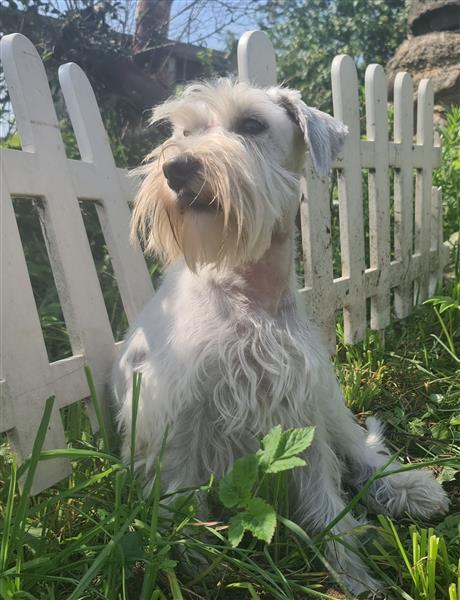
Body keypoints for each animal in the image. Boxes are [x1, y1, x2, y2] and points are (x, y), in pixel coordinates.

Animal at [112, 79, 450, 596]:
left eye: (252, 124)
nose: (176, 167)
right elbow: (181, 499)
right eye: (184, 131)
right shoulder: (177, 418)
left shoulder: (300, 408)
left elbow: (326, 501)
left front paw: (353, 574)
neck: (248, 290)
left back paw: (411, 488)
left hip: (330, 403)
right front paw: (192, 564)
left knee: (361, 451)